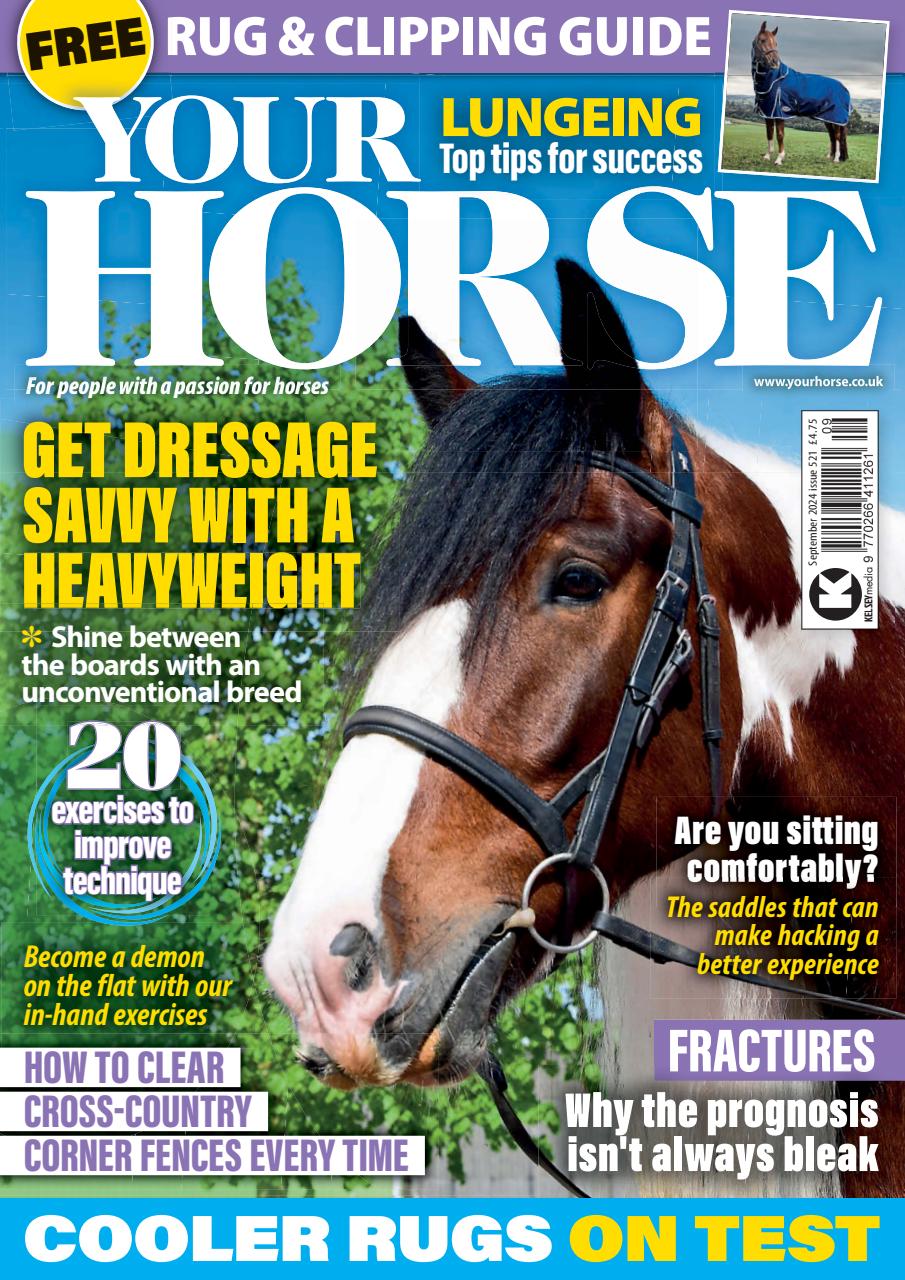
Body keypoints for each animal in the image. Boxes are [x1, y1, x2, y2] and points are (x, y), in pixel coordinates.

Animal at [751, 21, 851, 166]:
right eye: (763, 40)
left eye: (776, 43)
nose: (775, 62)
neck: (774, 79)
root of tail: (844, 88)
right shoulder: (768, 113)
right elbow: (769, 134)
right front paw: (767, 156)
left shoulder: (779, 113)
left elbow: (780, 135)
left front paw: (779, 159)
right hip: (827, 118)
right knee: (832, 136)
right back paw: (829, 156)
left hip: (837, 119)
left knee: (837, 136)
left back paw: (837, 158)